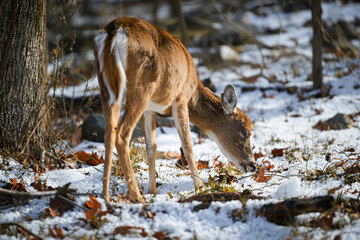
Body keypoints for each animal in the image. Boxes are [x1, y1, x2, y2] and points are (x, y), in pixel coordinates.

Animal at [93, 16, 256, 202]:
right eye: (245, 131)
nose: (252, 165)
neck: (194, 91)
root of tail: (114, 30)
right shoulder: (180, 98)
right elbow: (187, 144)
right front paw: (200, 187)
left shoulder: (150, 109)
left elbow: (152, 146)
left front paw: (152, 190)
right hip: (140, 89)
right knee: (121, 134)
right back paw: (136, 197)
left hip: (106, 88)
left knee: (109, 133)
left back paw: (105, 196)